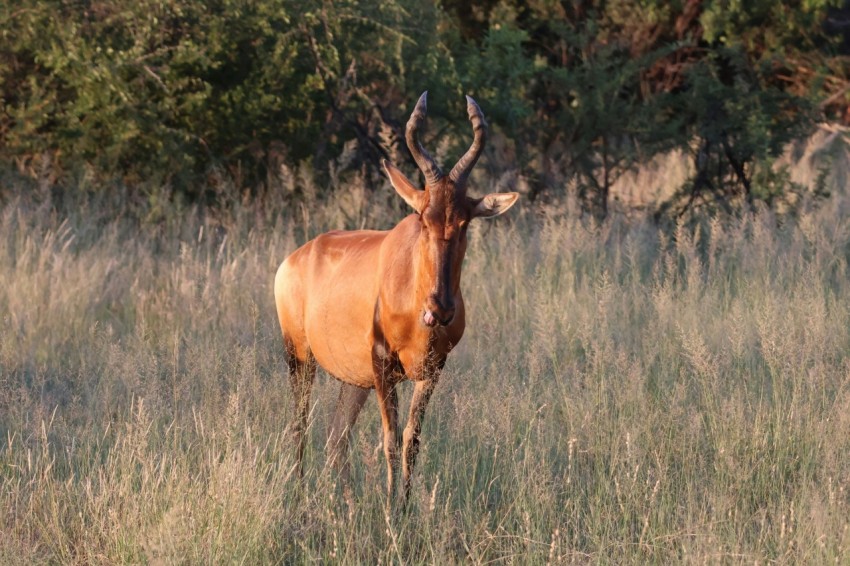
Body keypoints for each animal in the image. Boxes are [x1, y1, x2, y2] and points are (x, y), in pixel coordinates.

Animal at [274, 91, 520, 508]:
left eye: (465, 222)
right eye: (422, 218)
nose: (440, 310)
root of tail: (295, 258)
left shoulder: (432, 370)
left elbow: (411, 440)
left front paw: (403, 509)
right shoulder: (382, 364)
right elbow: (389, 439)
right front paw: (390, 510)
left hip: (354, 378)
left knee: (336, 438)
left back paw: (347, 509)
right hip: (301, 357)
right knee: (300, 427)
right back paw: (300, 499)